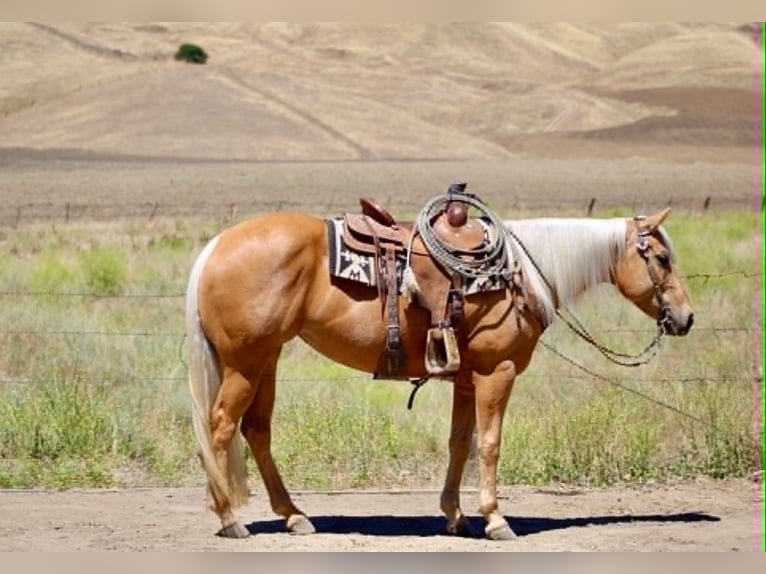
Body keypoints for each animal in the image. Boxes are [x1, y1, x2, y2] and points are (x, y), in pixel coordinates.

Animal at [184, 204, 693, 541]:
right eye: (662, 259)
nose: (686, 318)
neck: (518, 274)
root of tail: (216, 246)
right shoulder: (496, 372)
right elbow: (489, 444)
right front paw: (495, 519)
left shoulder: (467, 379)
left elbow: (459, 443)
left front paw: (455, 516)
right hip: (245, 363)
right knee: (222, 426)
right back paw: (230, 519)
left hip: (265, 360)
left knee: (257, 431)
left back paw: (294, 515)